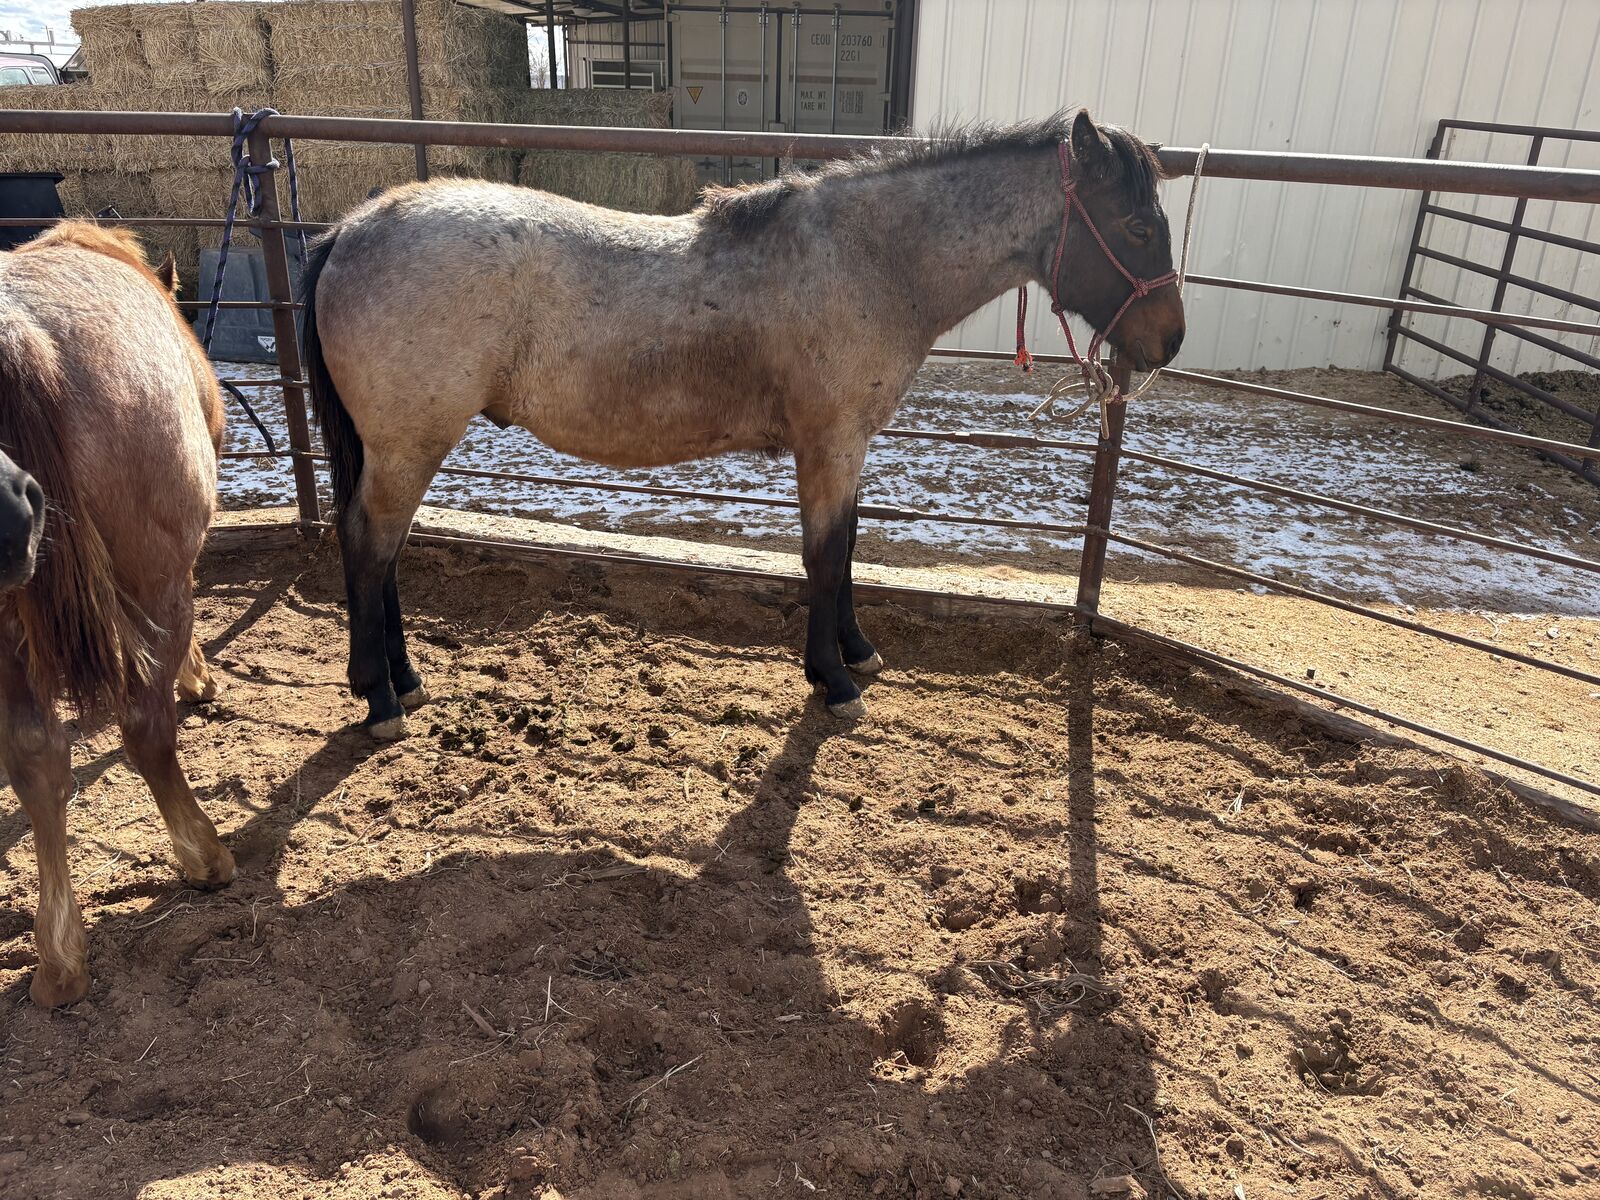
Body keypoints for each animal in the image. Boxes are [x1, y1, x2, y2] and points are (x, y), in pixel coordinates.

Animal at [0, 222, 232, 1006]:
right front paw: (197, 677)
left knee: (35, 756)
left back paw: (59, 960)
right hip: (153, 584)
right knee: (143, 725)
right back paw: (205, 857)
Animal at [302, 109, 1185, 739]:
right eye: (1138, 227)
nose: (1170, 340)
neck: (871, 259)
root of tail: (350, 228)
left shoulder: (848, 447)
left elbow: (849, 547)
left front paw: (856, 653)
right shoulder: (828, 443)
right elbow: (824, 558)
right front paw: (832, 681)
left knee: (383, 551)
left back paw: (404, 680)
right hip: (408, 446)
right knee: (370, 546)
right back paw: (380, 697)